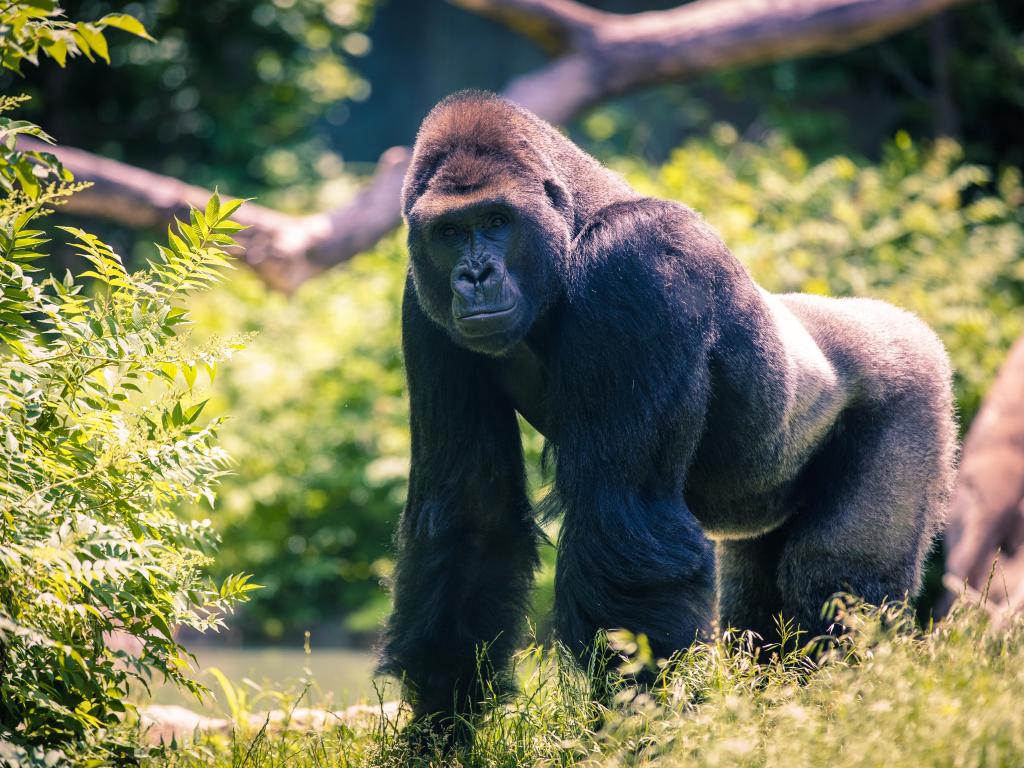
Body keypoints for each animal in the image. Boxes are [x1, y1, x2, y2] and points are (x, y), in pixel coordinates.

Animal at [378, 90, 958, 733]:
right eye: (450, 231)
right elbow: (470, 513)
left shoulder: (639, 261)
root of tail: (906, 324)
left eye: (497, 222)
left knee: (838, 579)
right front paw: (442, 718)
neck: (573, 228)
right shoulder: (422, 305)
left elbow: (623, 520)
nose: (475, 275)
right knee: (759, 594)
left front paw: (641, 723)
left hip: (914, 388)